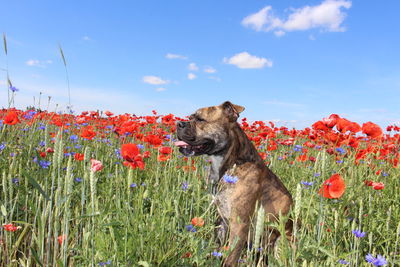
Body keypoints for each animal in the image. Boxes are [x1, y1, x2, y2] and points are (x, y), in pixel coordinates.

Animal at [175, 101, 294, 266]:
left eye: (200, 119)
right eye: (190, 117)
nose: (178, 124)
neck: (231, 162)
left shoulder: (239, 224)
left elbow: (231, 256)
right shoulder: (223, 219)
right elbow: (219, 247)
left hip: (281, 241)